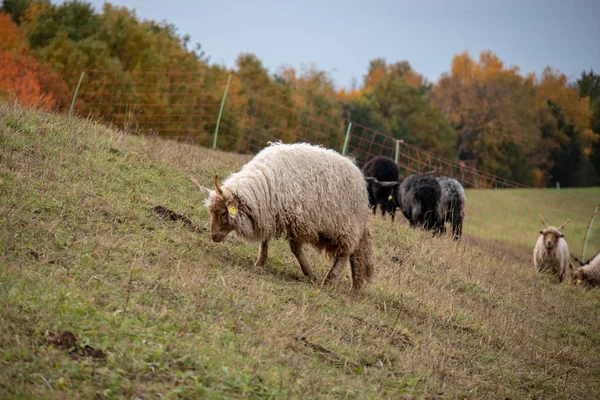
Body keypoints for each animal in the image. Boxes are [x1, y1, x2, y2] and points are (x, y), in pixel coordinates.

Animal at [190, 143, 372, 290]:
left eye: (223, 212)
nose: (213, 236)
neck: (264, 185)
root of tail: (358, 172)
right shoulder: (270, 213)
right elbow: (265, 240)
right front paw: (260, 262)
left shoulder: (297, 220)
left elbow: (295, 249)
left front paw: (310, 274)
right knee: (356, 255)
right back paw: (355, 286)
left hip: (345, 226)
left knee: (346, 253)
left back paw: (330, 280)